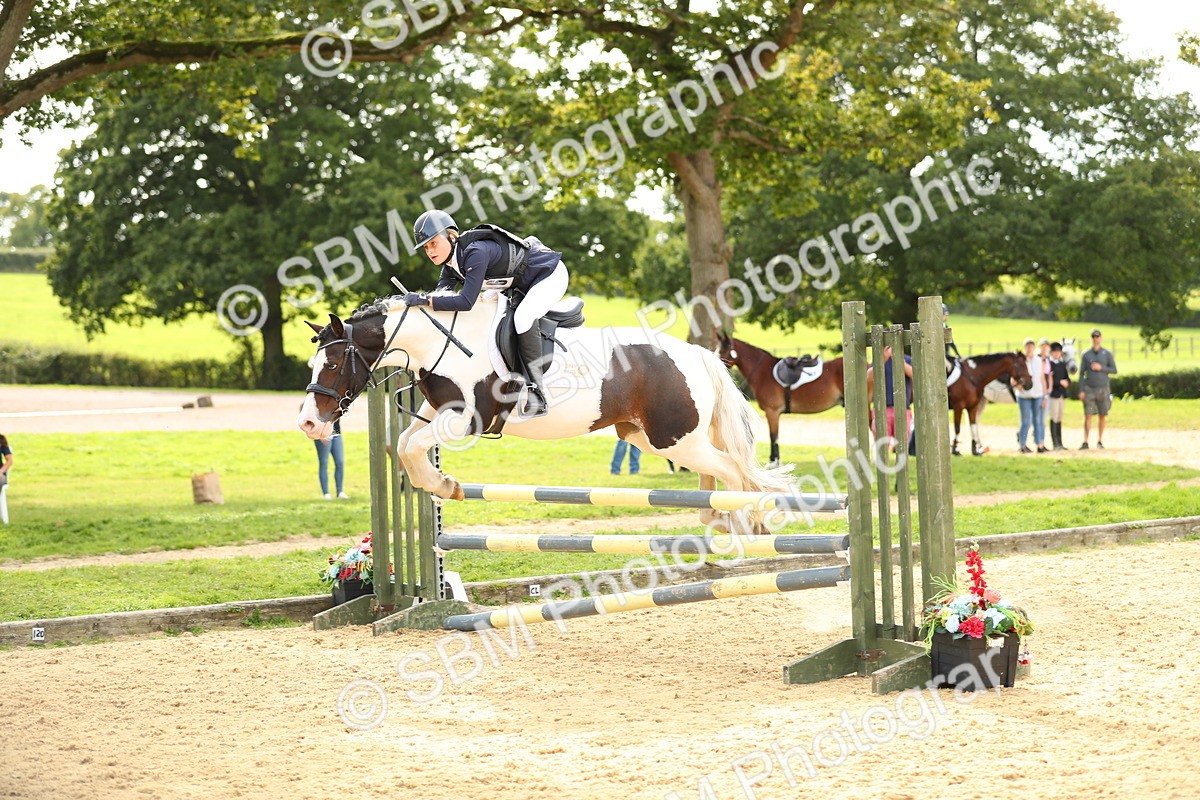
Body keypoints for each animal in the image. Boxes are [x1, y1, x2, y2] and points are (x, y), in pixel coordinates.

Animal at [297, 292, 793, 533]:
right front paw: (443, 484)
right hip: (650, 438)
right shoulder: (438, 412)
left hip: (675, 438)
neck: (439, 340)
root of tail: (700, 356)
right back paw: (716, 518)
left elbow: (412, 448)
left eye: (334, 363)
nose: (308, 423)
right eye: (312, 364)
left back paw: (740, 521)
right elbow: (405, 445)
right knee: (716, 473)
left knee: (732, 471)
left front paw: (443, 484)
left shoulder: (467, 419)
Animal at [715, 335, 844, 467]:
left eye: (723, 350)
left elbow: (773, 436)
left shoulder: (772, 412)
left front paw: (774, 461)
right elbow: (774, 436)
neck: (764, 372)